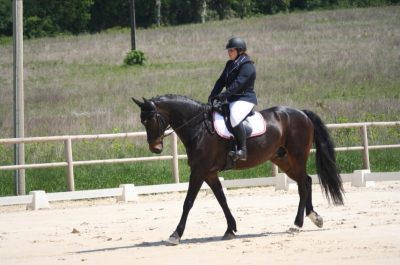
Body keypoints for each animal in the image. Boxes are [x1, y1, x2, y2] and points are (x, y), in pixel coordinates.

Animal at [132, 94, 344, 244]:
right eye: (142, 121)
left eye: (150, 120)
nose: (155, 148)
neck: (199, 128)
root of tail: (301, 113)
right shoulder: (209, 173)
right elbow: (222, 200)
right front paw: (230, 229)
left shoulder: (199, 171)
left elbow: (188, 202)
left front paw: (175, 234)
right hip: (283, 159)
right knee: (305, 180)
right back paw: (314, 217)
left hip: (297, 156)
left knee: (302, 184)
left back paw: (297, 224)